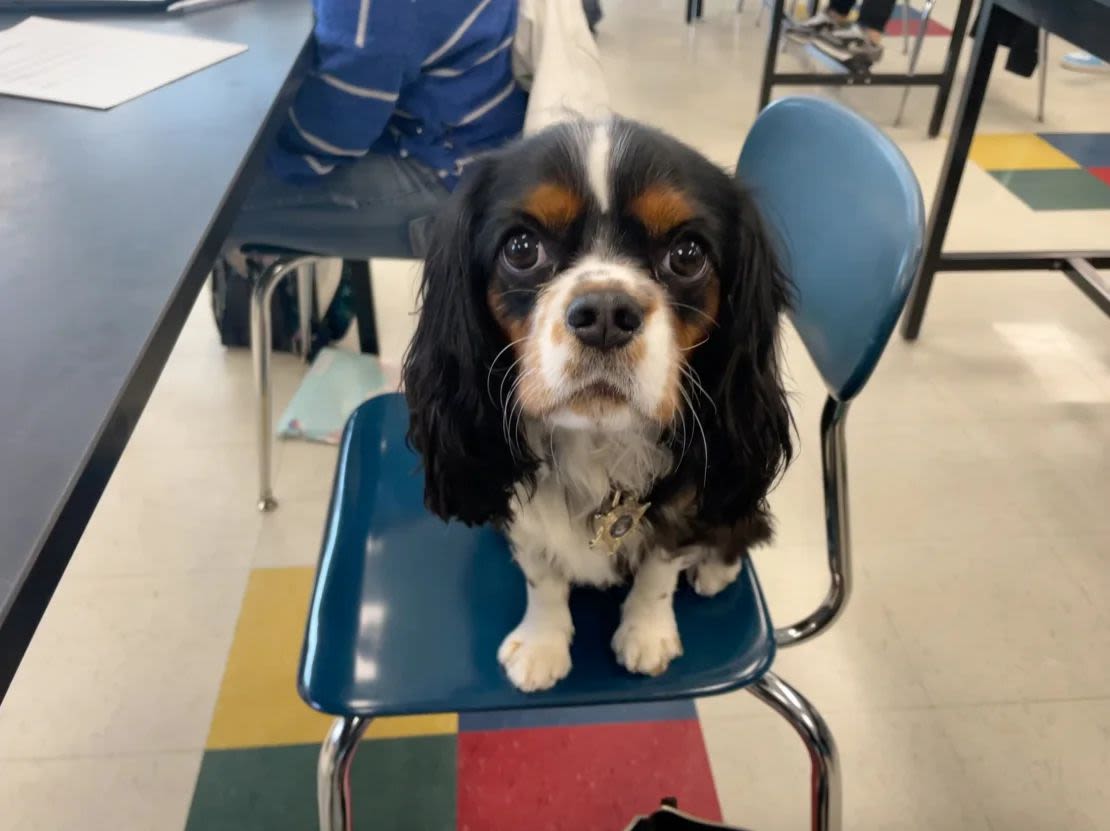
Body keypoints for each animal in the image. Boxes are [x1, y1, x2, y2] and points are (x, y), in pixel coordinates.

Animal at [404, 114, 794, 687]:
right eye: (521, 248)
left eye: (688, 255)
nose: (607, 312)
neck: (598, 440)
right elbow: (542, 575)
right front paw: (542, 643)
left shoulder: (684, 501)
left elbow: (659, 567)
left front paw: (647, 633)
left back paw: (714, 570)